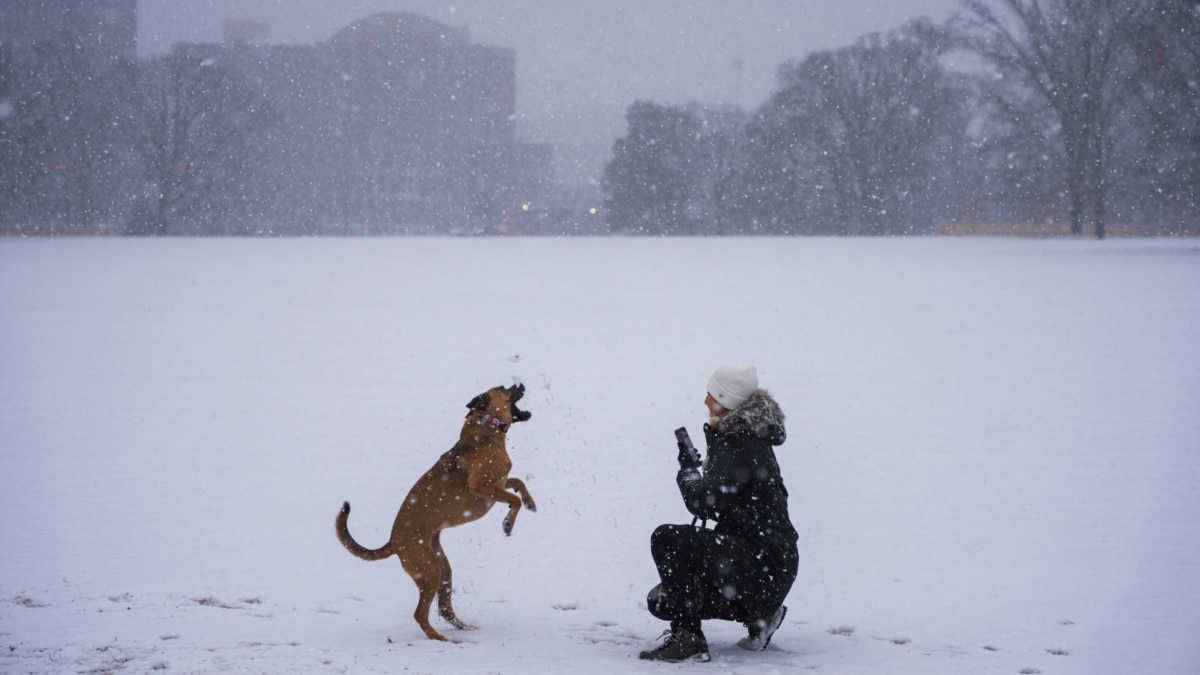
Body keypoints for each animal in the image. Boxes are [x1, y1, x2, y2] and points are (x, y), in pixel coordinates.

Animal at [336, 381, 537, 638]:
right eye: (503, 387)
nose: (520, 383)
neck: (486, 428)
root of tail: (393, 542)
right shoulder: (480, 486)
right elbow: (513, 499)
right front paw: (508, 523)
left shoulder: (499, 483)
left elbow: (518, 483)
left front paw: (530, 502)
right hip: (430, 571)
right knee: (420, 614)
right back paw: (438, 638)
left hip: (441, 568)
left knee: (444, 608)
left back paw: (465, 628)